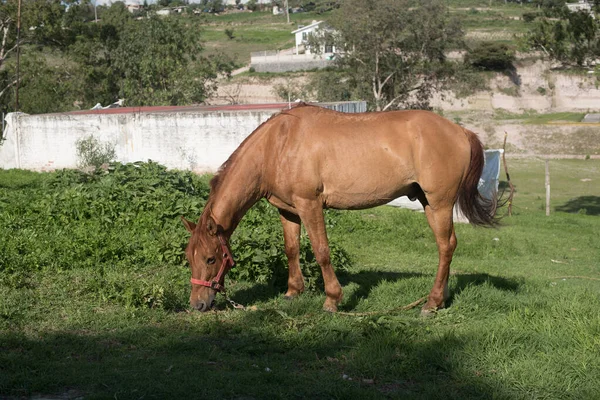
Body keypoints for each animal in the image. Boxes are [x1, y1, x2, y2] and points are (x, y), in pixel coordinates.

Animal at [182, 104, 496, 316]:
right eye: (189, 258)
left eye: (211, 259)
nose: (198, 304)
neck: (277, 146)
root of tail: (460, 130)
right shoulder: (288, 211)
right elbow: (291, 249)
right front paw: (293, 292)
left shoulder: (310, 205)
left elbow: (321, 251)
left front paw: (332, 300)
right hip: (428, 202)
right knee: (447, 247)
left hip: (440, 203)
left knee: (446, 246)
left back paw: (431, 303)